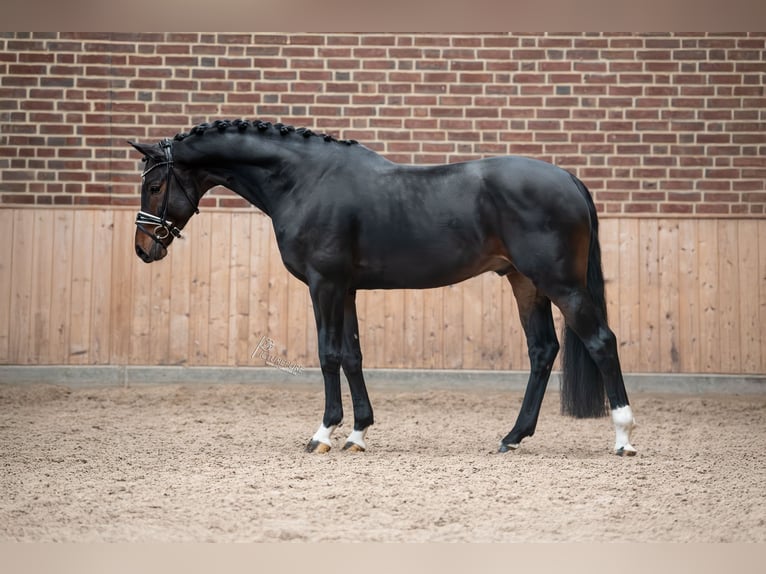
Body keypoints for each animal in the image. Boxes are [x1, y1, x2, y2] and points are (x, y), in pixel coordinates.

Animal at [129, 120, 640, 460]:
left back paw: (623, 437)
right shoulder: (347, 289)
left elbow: (328, 354)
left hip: (561, 284)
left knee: (601, 342)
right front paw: (358, 433)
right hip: (525, 283)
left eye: (154, 186)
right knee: (542, 350)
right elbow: (352, 354)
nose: (143, 248)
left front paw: (323, 433)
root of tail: (569, 179)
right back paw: (513, 436)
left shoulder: (324, 284)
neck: (305, 181)